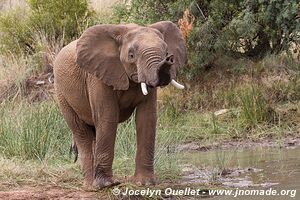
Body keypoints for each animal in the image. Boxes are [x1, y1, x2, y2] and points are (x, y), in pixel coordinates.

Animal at [52, 21, 186, 190]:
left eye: (166, 51)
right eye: (131, 55)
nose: (169, 59)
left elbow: (147, 118)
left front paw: (145, 183)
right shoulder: (97, 76)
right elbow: (107, 117)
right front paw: (107, 185)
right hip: (61, 94)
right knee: (81, 131)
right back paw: (91, 186)